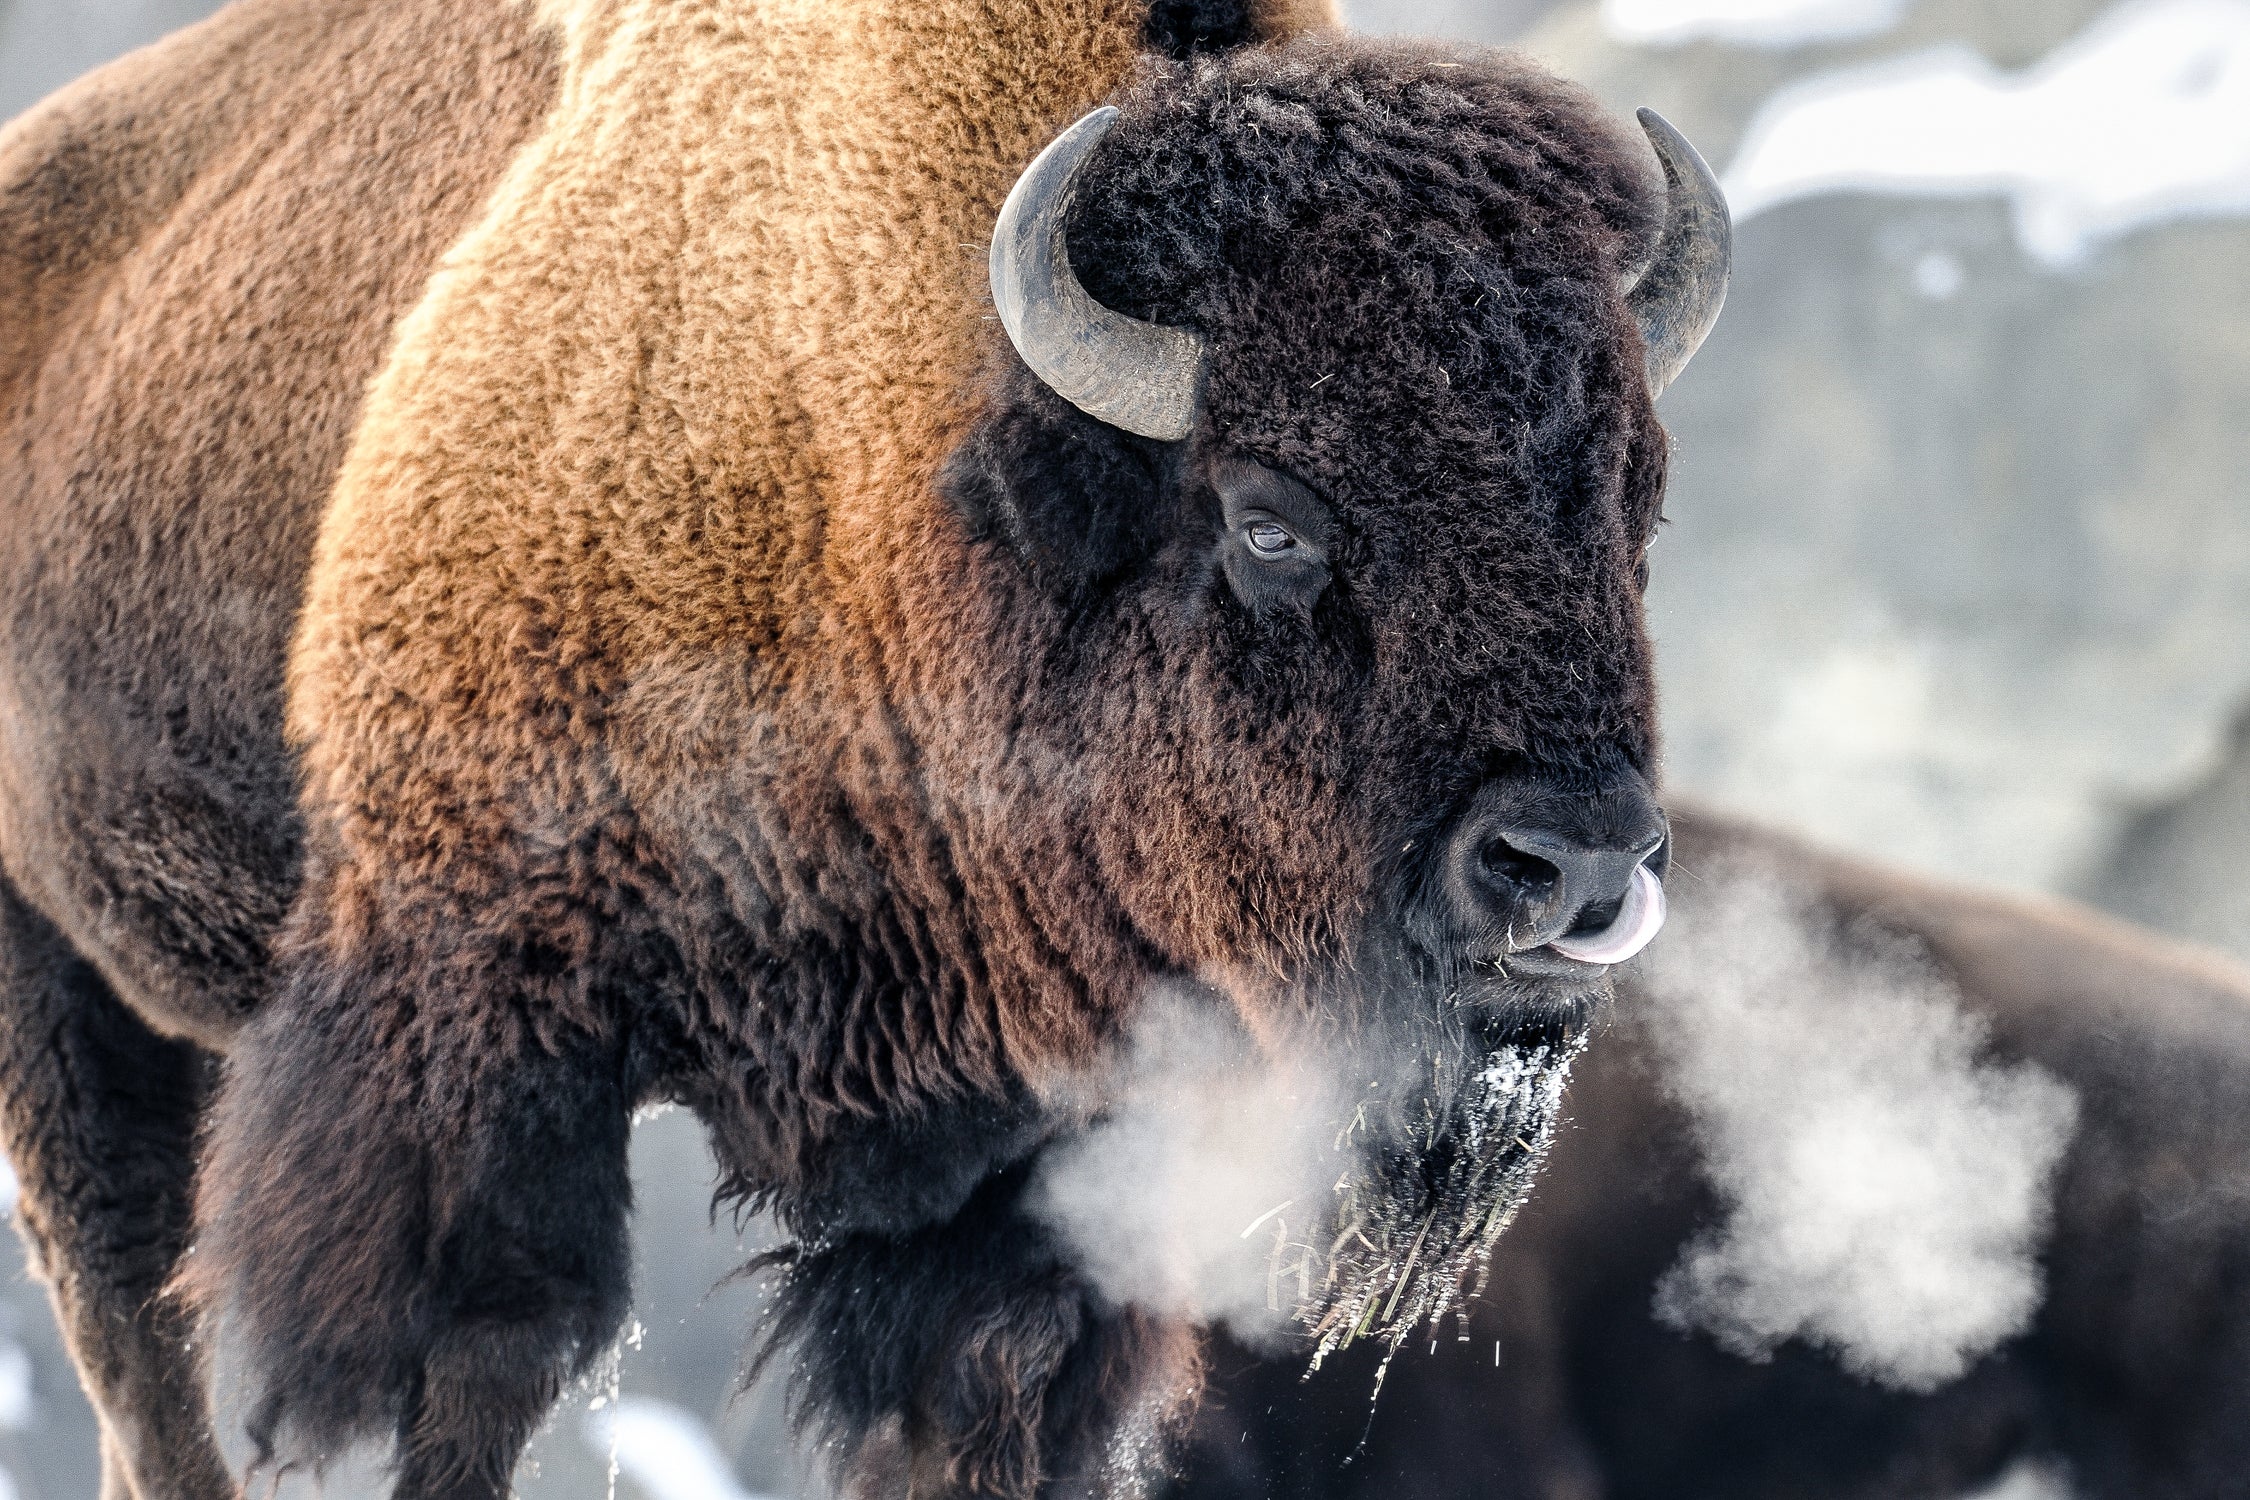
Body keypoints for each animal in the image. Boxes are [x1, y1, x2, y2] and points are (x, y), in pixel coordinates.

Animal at [0, 0, 1729, 1496]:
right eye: (1270, 519)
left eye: (1637, 508)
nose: (1572, 864)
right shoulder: (468, 1025)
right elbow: (476, 1364)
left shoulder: (1021, 1181)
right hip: (62, 996)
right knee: (138, 1336)